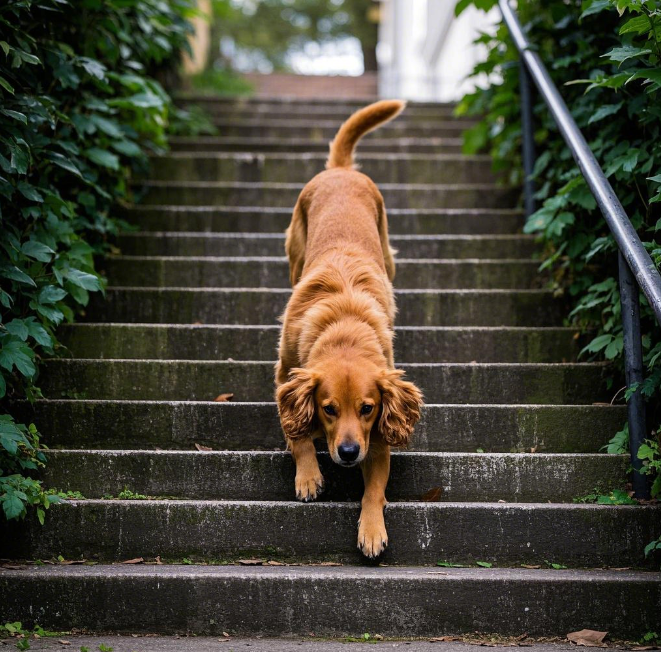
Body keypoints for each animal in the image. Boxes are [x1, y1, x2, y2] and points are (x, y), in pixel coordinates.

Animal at [274, 99, 422, 556]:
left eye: (368, 408)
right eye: (328, 409)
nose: (349, 451)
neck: (343, 329)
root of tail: (340, 170)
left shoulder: (378, 435)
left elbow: (374, 489)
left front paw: (371, 529)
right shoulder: (285, 375)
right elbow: (297, 433)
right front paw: (308, 475)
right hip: (295, 252)